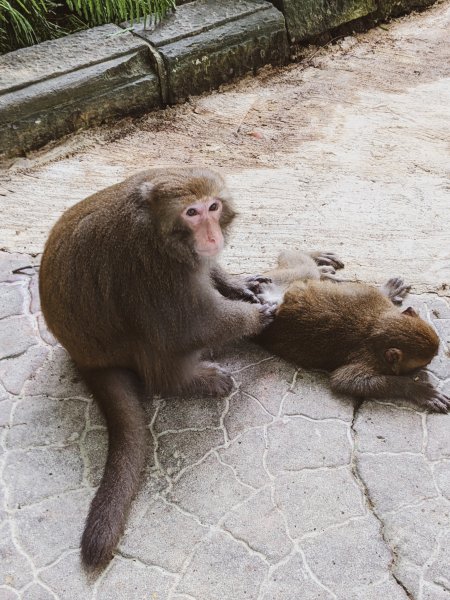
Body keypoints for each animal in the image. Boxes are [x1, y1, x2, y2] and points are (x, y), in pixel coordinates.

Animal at [38, 166, 276, 568]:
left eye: (213, 207)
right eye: (192, 213)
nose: (211, 235)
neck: (156, 229)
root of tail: (84, 357)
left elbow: (205, 276)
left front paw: (235, 283)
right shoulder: (152, 266)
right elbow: (189, 325)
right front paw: (256, 317)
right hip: (126, 343)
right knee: (157, 332)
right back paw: (186, 381)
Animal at [256, 248, 450, 412]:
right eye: (425, 363)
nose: (426, 368)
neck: (375, 325)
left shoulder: (370, 296)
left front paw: (389, 291)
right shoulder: (368, 358)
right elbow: (344, 381)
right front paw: (417, 389)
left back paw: (315, 258)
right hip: (280, 278)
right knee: (305, 269)